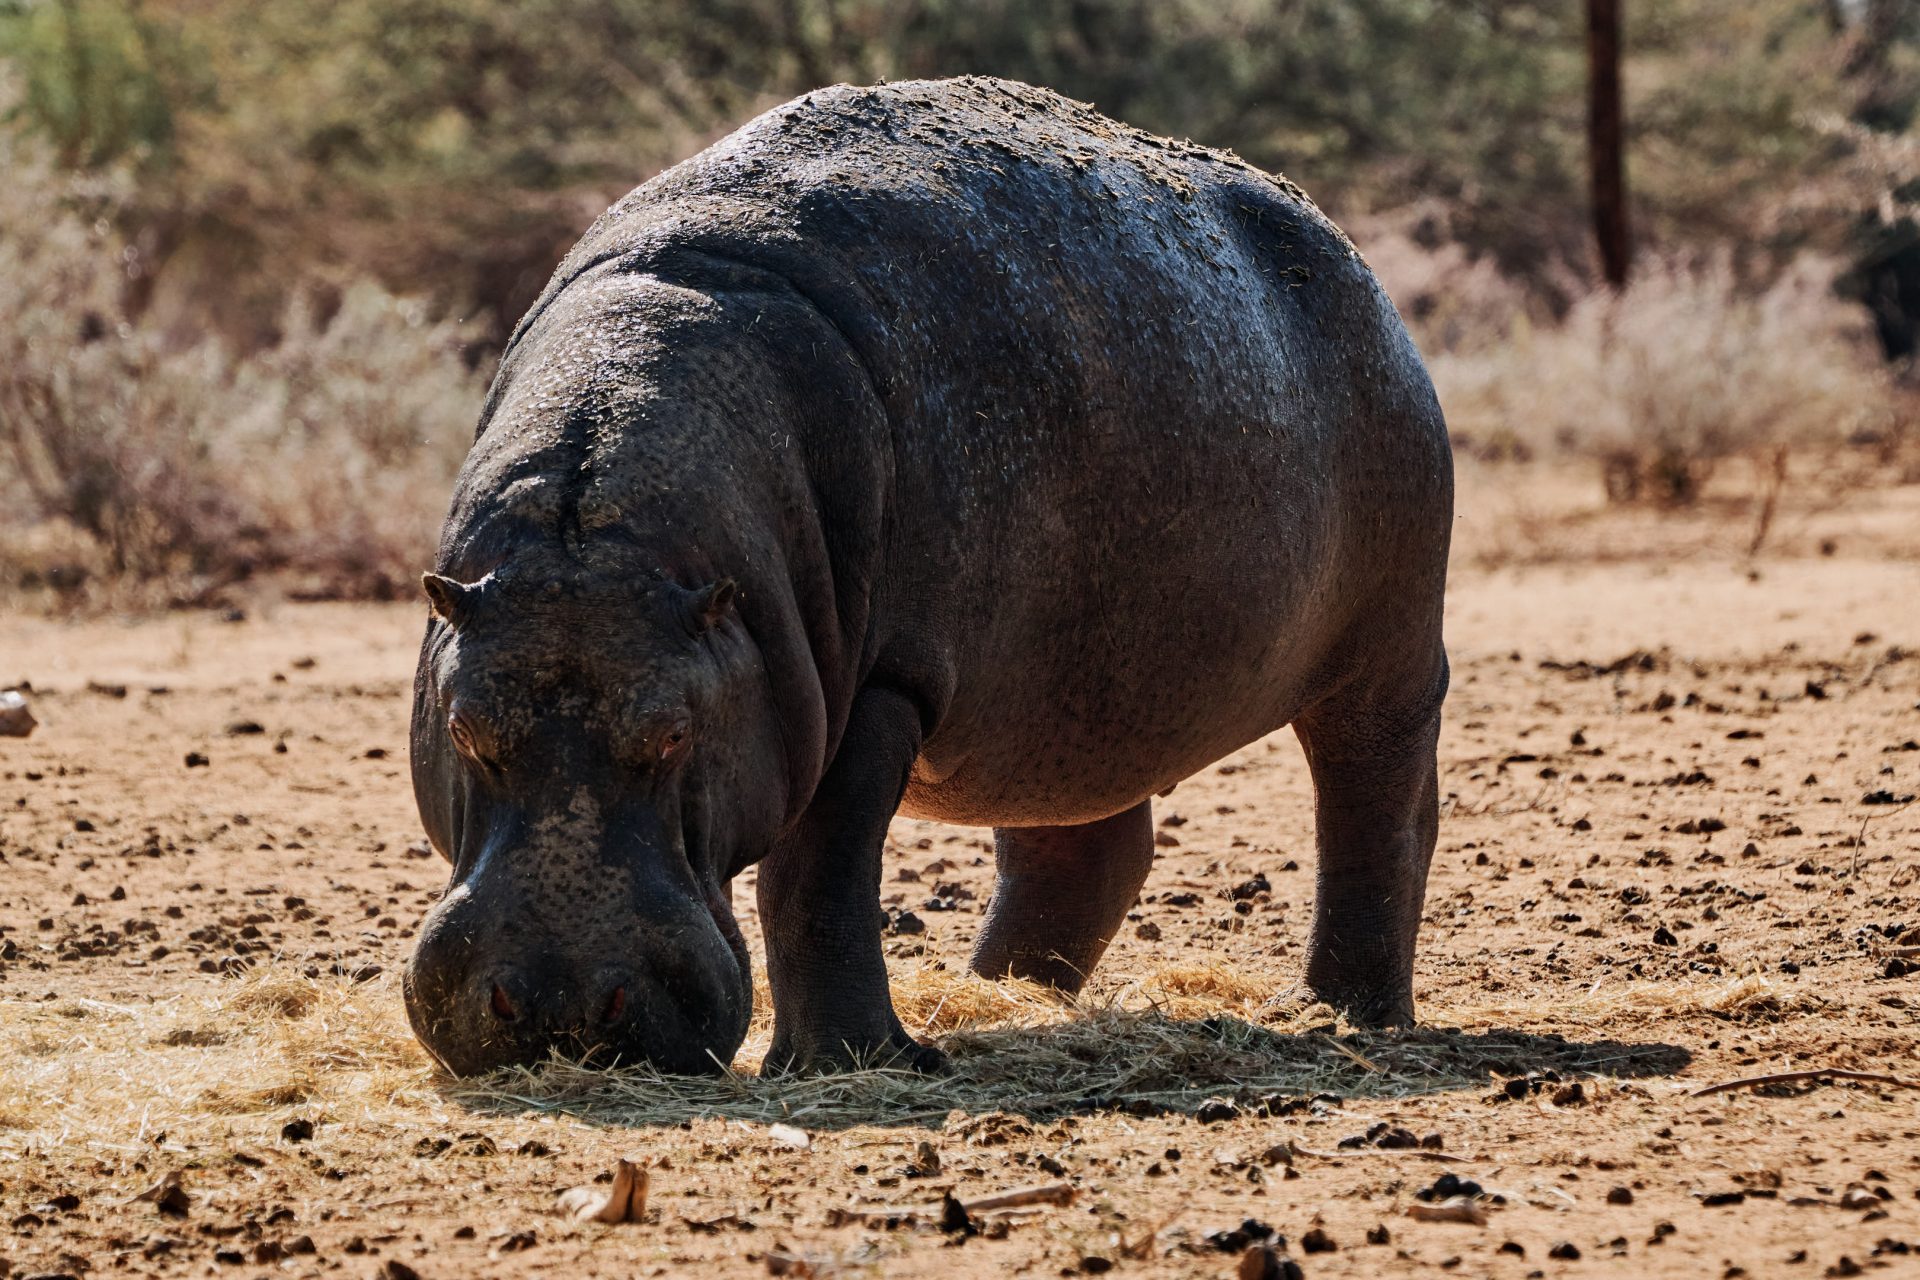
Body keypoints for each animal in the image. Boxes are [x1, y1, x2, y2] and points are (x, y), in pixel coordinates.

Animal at [408, 75, 1451, 1074]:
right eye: (463, 729)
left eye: (673, 735)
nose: (561, 1010)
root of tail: (1347, 255)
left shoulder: (881, 681)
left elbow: (817, 873)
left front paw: (853, 1062)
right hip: (1065, 694)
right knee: (1082, 844)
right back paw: (996, 997)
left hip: (1388, 647)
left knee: (1375, 806)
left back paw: (1338, 1014)